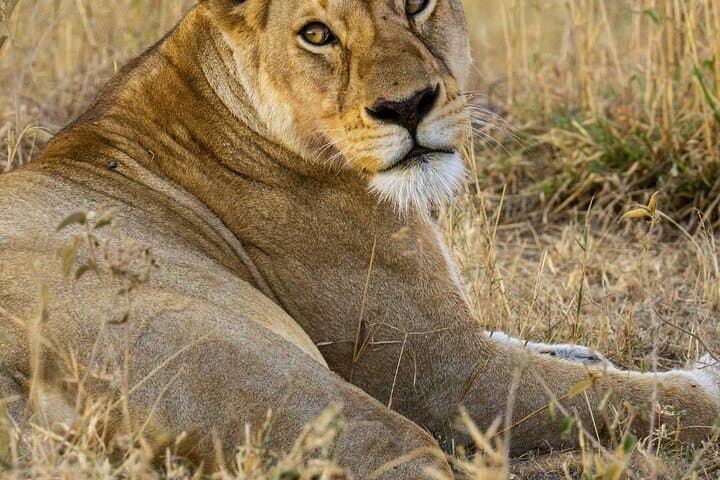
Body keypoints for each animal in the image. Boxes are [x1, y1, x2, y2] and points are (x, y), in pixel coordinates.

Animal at [0, 0, 718, 477]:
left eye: (415, 1)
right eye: (316, 34)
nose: (407, 107)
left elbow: (566, 356)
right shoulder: (446, 376)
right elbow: (629, 400)